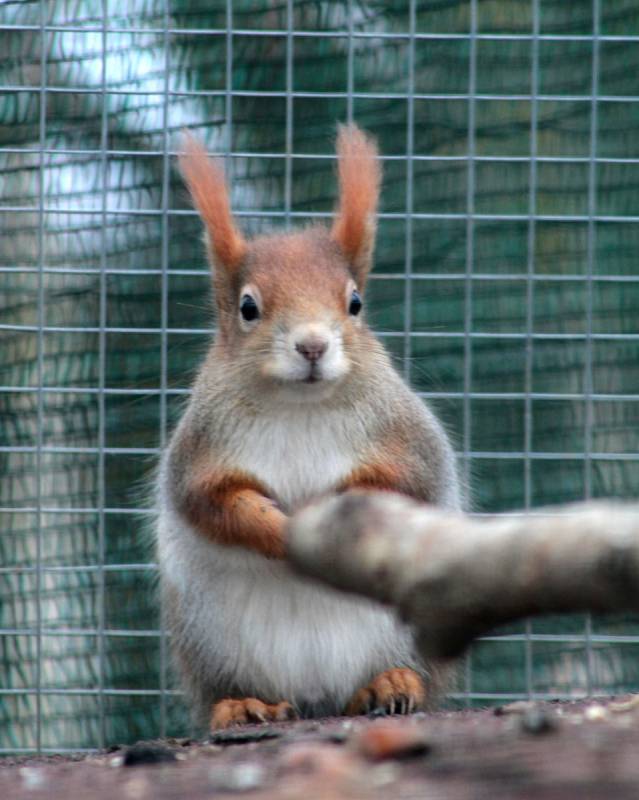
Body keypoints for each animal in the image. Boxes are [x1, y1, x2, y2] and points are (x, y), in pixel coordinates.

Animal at [157, 123, 462, 732]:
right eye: (248, 308)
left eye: (355, 302)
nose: (313, 345)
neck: (301, 404)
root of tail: (318, 699)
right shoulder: (201, 452)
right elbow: (214, 503)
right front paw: (277, 530)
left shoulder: (407, 439)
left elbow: (402, 484)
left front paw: (339, 510)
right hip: (210, 644)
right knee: (233, 691)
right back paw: (243, 705)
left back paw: (389, 684)